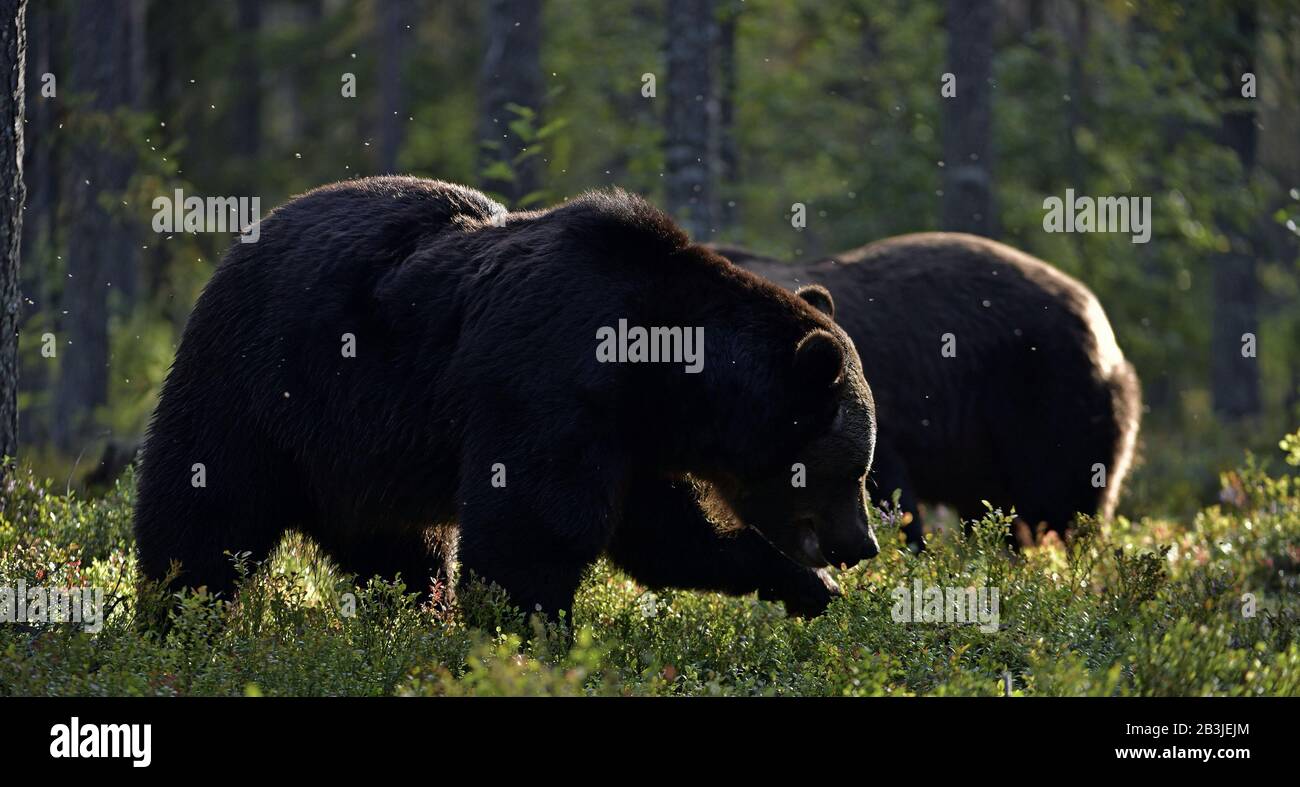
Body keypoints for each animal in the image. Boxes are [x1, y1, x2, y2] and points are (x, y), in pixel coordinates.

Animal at [133, 176, 880, 622]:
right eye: (854, 468)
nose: (863, 544)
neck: (658, 374)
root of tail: (242, 240)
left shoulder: (627, 437)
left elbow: (670, 535)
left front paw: (809, 589)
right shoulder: (547, 387)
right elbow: (534, 532)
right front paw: (531, 637)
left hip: (361, 462)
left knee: (402, 555)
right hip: (262, 388)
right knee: (206, 512)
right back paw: (179, 620)